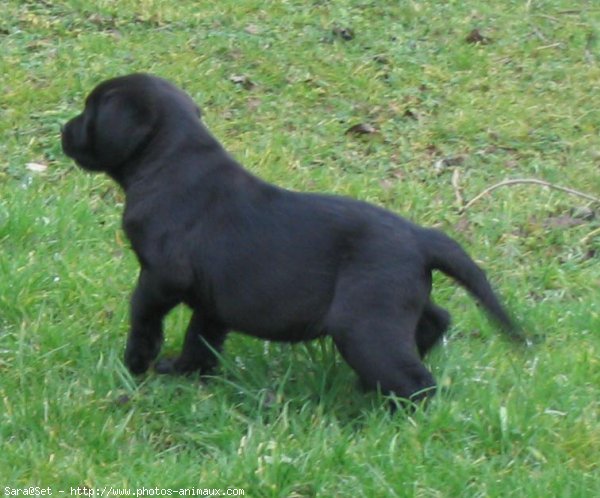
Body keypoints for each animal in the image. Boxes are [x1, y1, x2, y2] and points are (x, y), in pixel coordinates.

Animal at [58, 73, 524, 400]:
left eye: (90, 110)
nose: (63, 130)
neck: (169, 158)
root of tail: (422, 238)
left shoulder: (160, 277)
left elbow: (143, 318)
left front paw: (136, 364)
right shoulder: (212, 299)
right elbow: (201, 338)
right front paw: (187, 372)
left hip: (365, 327)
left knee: (417, 383)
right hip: (394, 306)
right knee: (436, 320)